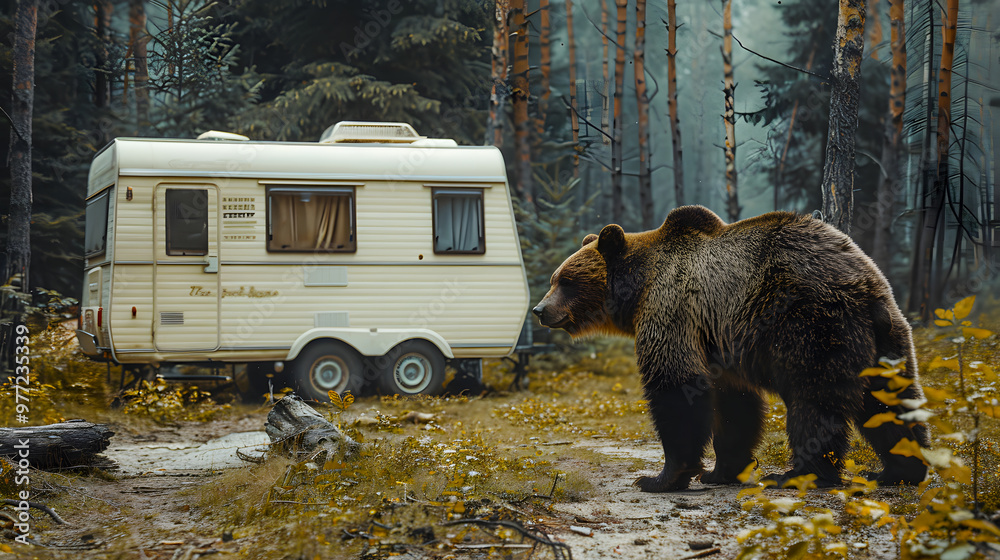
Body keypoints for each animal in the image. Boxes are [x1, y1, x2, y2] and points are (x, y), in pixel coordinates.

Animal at [532, 205, 930, 492]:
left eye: (566, 281)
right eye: (554, 279)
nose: (539, 310)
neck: (639, 289)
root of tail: (866, 286)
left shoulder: (673, 309)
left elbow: (674, 386)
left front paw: (662, 477)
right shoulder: (720, 342)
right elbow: (735, 406)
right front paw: (721, 471)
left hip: (811, 324)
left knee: (814, 404)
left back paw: (797, 475)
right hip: (887, 339)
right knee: (891, 403)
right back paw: (900, 469)